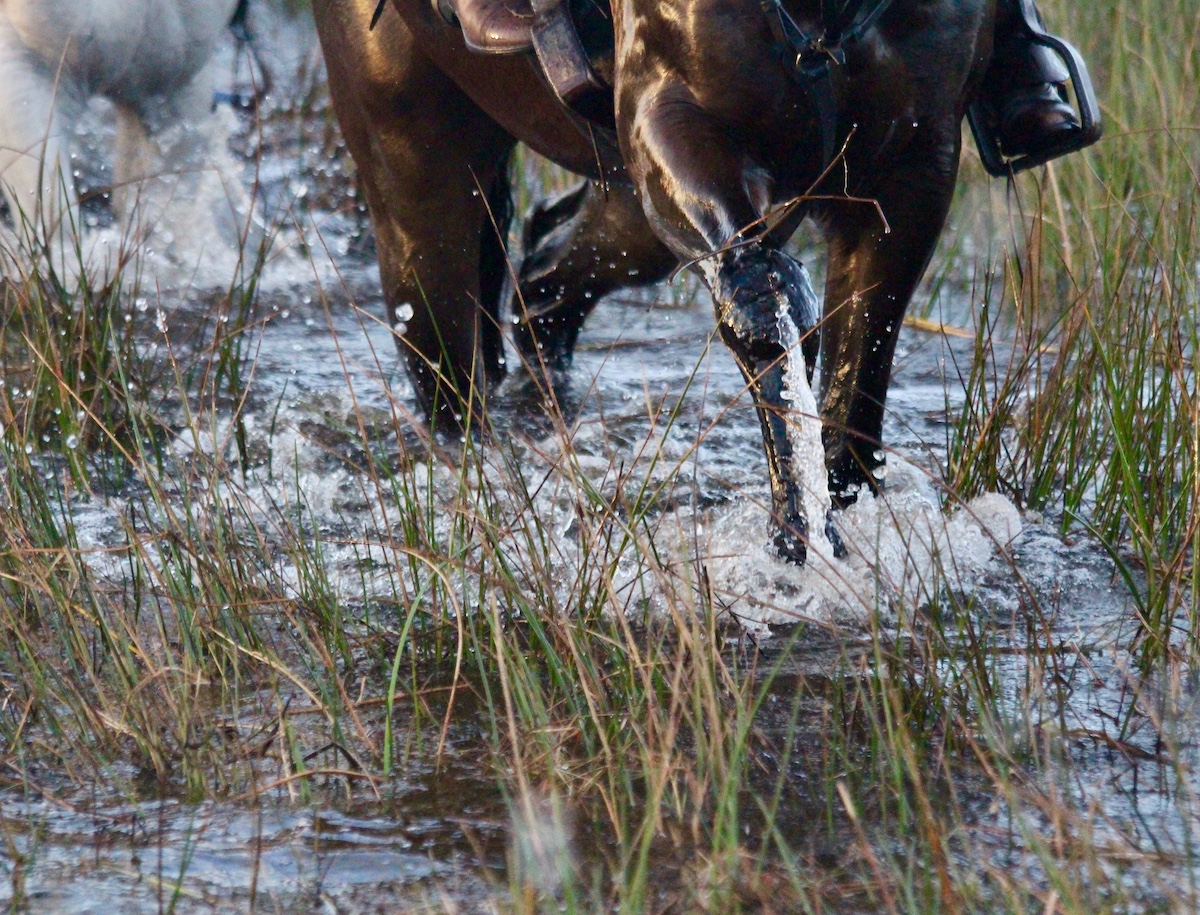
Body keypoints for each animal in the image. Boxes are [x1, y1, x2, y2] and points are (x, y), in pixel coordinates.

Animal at [312, 0, 1003, 564]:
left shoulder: (913, 168)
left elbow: (861, 362)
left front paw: (836, 520)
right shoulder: (673, 115)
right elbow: (765, 302)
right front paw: (800, 538)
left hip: (623, 199)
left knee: (547, 286)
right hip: (417, 176)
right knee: (447, 368)